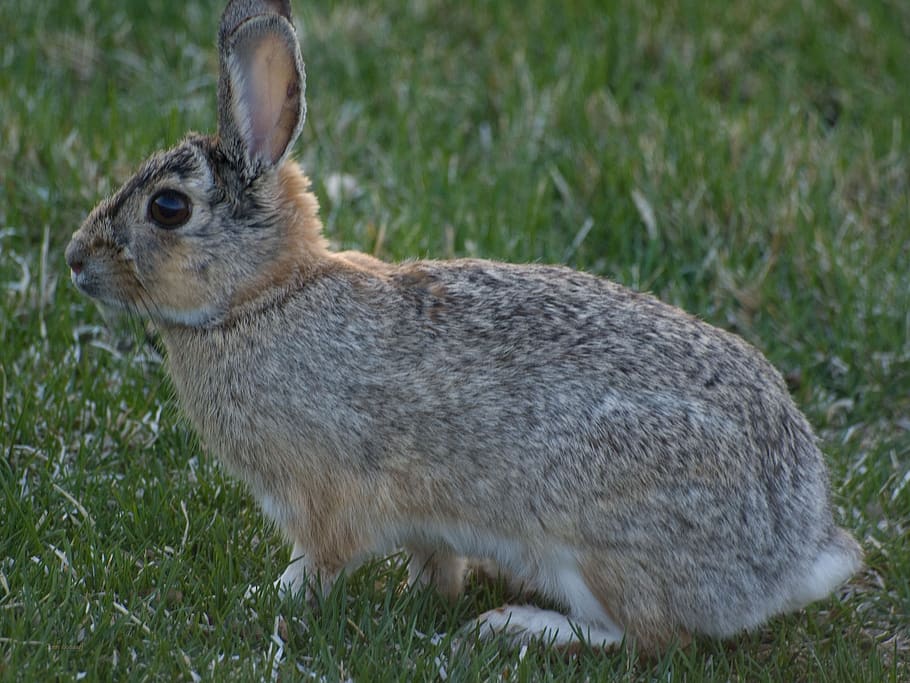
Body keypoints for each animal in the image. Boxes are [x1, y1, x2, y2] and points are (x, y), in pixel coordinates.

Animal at [65, 0, 862, 654]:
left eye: (168, 208)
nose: (75, 260)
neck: (262, 298)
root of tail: (793, 556)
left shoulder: (324, 497)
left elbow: (318, 560)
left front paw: (272, 598)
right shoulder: (419, 517)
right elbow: (432, 559)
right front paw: (423, 593)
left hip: (596, 542)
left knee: (647, 636)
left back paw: (517, 626)